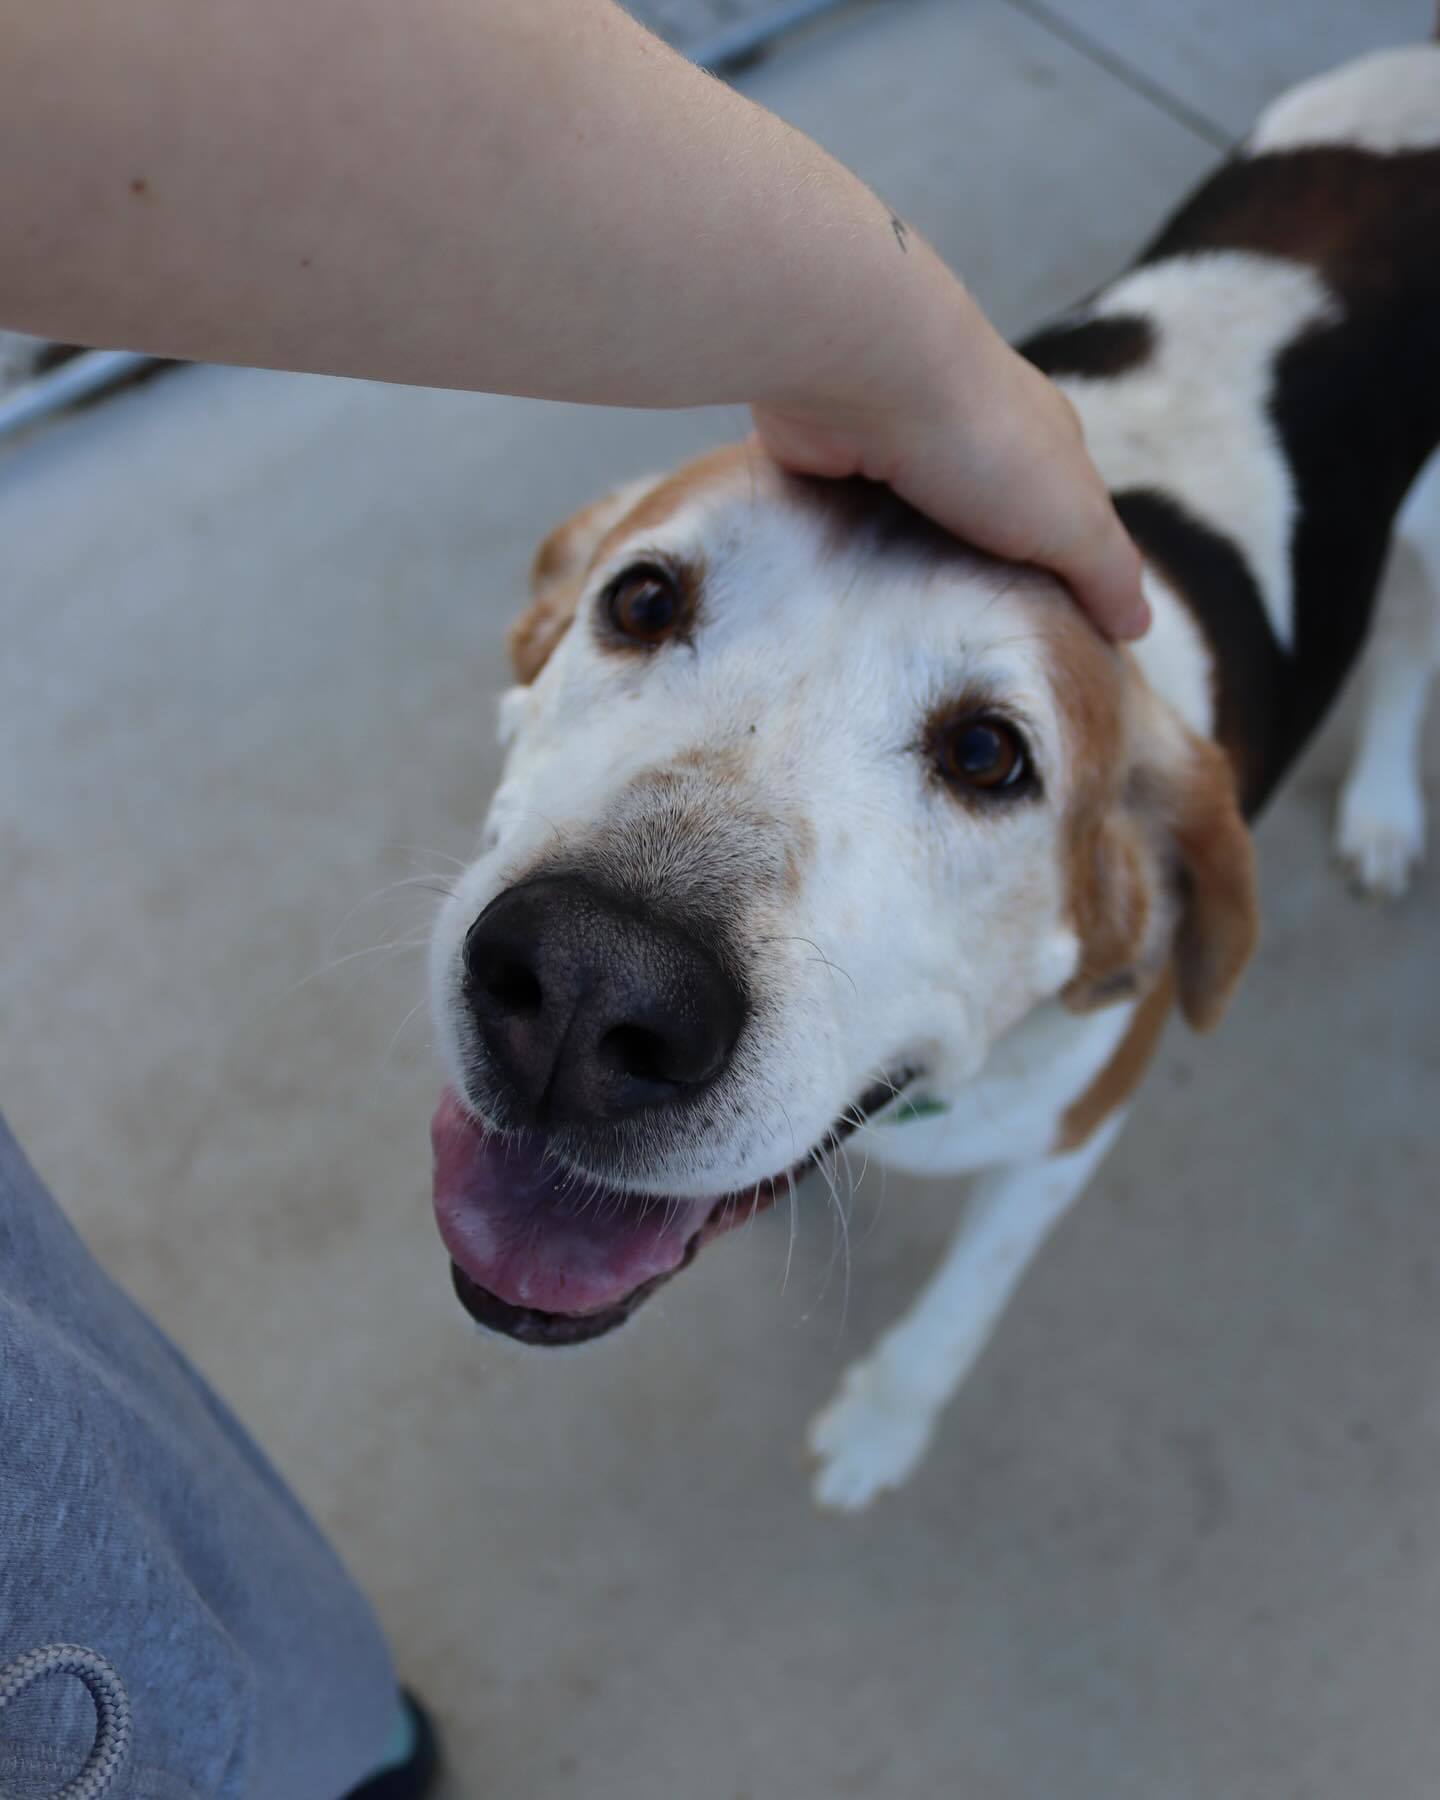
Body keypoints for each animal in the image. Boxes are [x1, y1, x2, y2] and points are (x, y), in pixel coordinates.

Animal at [428, 35, 1440, 1512]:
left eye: (986, 755)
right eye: (641, 600)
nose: (585, 986)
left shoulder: (1072, 1135)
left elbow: (958, 1313)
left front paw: (878, 1430)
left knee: (1414, 641)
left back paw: (1380, 810)